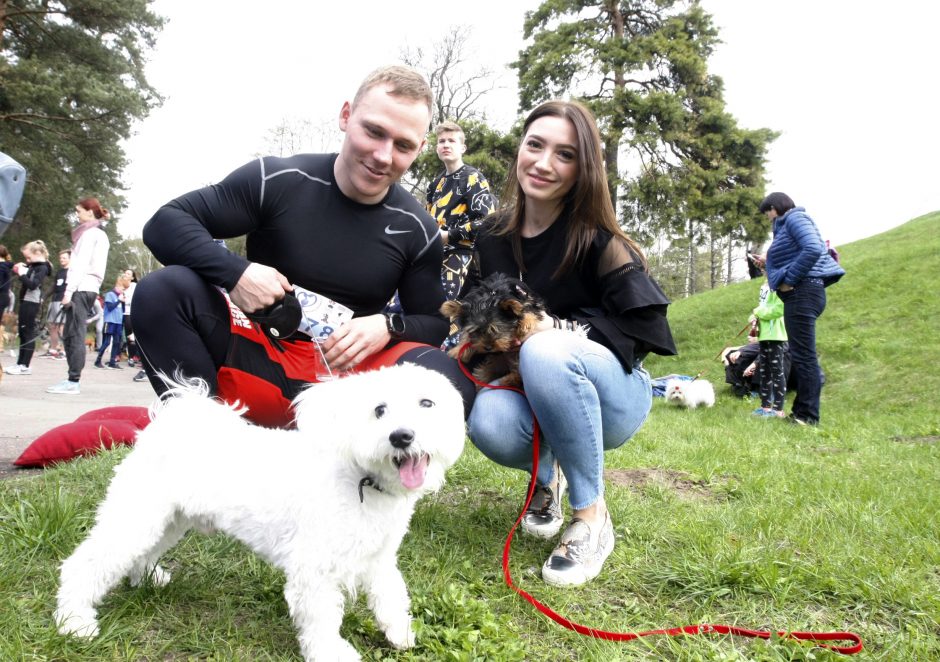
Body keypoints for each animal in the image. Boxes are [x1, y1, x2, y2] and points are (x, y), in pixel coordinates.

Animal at [53, 366, 464, 662]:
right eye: (378, 410)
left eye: (427, 404)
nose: (401, 436)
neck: (361, 479)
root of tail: (171, 423)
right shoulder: (313, 569)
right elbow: (321, 619)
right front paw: (332, 653)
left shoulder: (378, 557)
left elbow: (391, 595)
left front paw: (400, 634)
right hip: (137, 514)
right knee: (85, 564)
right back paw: (74, 622)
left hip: (169, 519)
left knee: (141, 553)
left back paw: (148, 578)